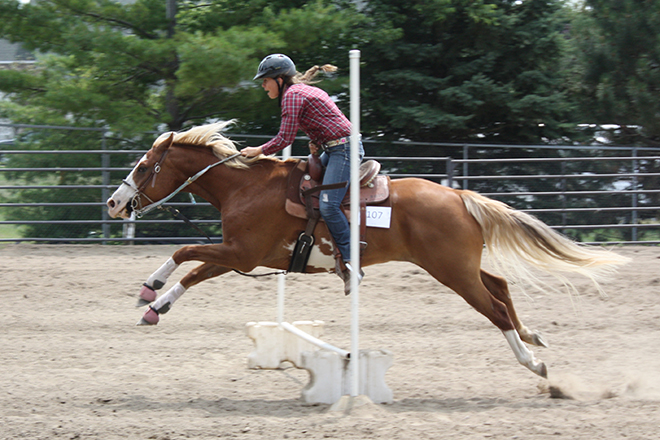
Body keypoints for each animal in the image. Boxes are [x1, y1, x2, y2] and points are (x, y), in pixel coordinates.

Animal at [106, 121, 628, 379]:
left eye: (145, 165)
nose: (113, 203)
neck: (247, 186)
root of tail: (459, 195)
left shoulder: (240, 253)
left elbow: (185, 252)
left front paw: (149, 288)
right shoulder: (242, 255)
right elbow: (194, 271)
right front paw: (156, 306)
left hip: (452, 272)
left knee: (495, 308)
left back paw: (532, 363)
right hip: (461, 266)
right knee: (500, 285)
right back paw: (533, 336)